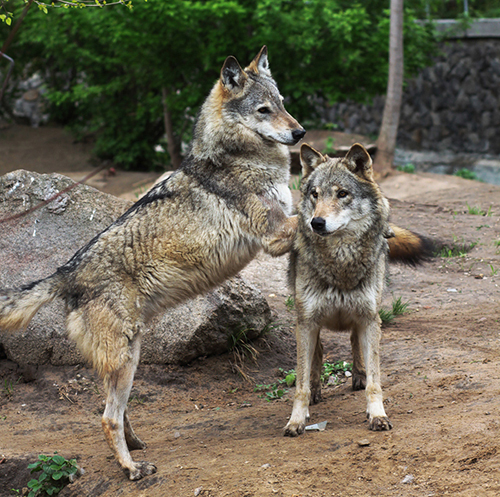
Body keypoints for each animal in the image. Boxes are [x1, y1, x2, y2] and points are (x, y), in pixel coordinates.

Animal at [0, 47, 304, 480]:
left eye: (282, 104)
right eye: (264, 110)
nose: (300, 134)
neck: (238, 155)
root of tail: (66, 272)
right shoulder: (275, 234)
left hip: (128, 358)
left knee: (114, 411)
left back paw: (135, 446)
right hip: (127, 358)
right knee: (107, 417)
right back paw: (132, 467)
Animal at [282, 141, 430, 436]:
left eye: (342, 194)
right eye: (315, 194)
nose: (316, 223)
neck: (341, 262)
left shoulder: (369, 318)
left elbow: (375, 379)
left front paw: (377, 415)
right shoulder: (306, 321)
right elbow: (301, 383)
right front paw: (297, 420)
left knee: (353, 342)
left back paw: (359, 375)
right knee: (318, 354)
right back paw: (316, 389)